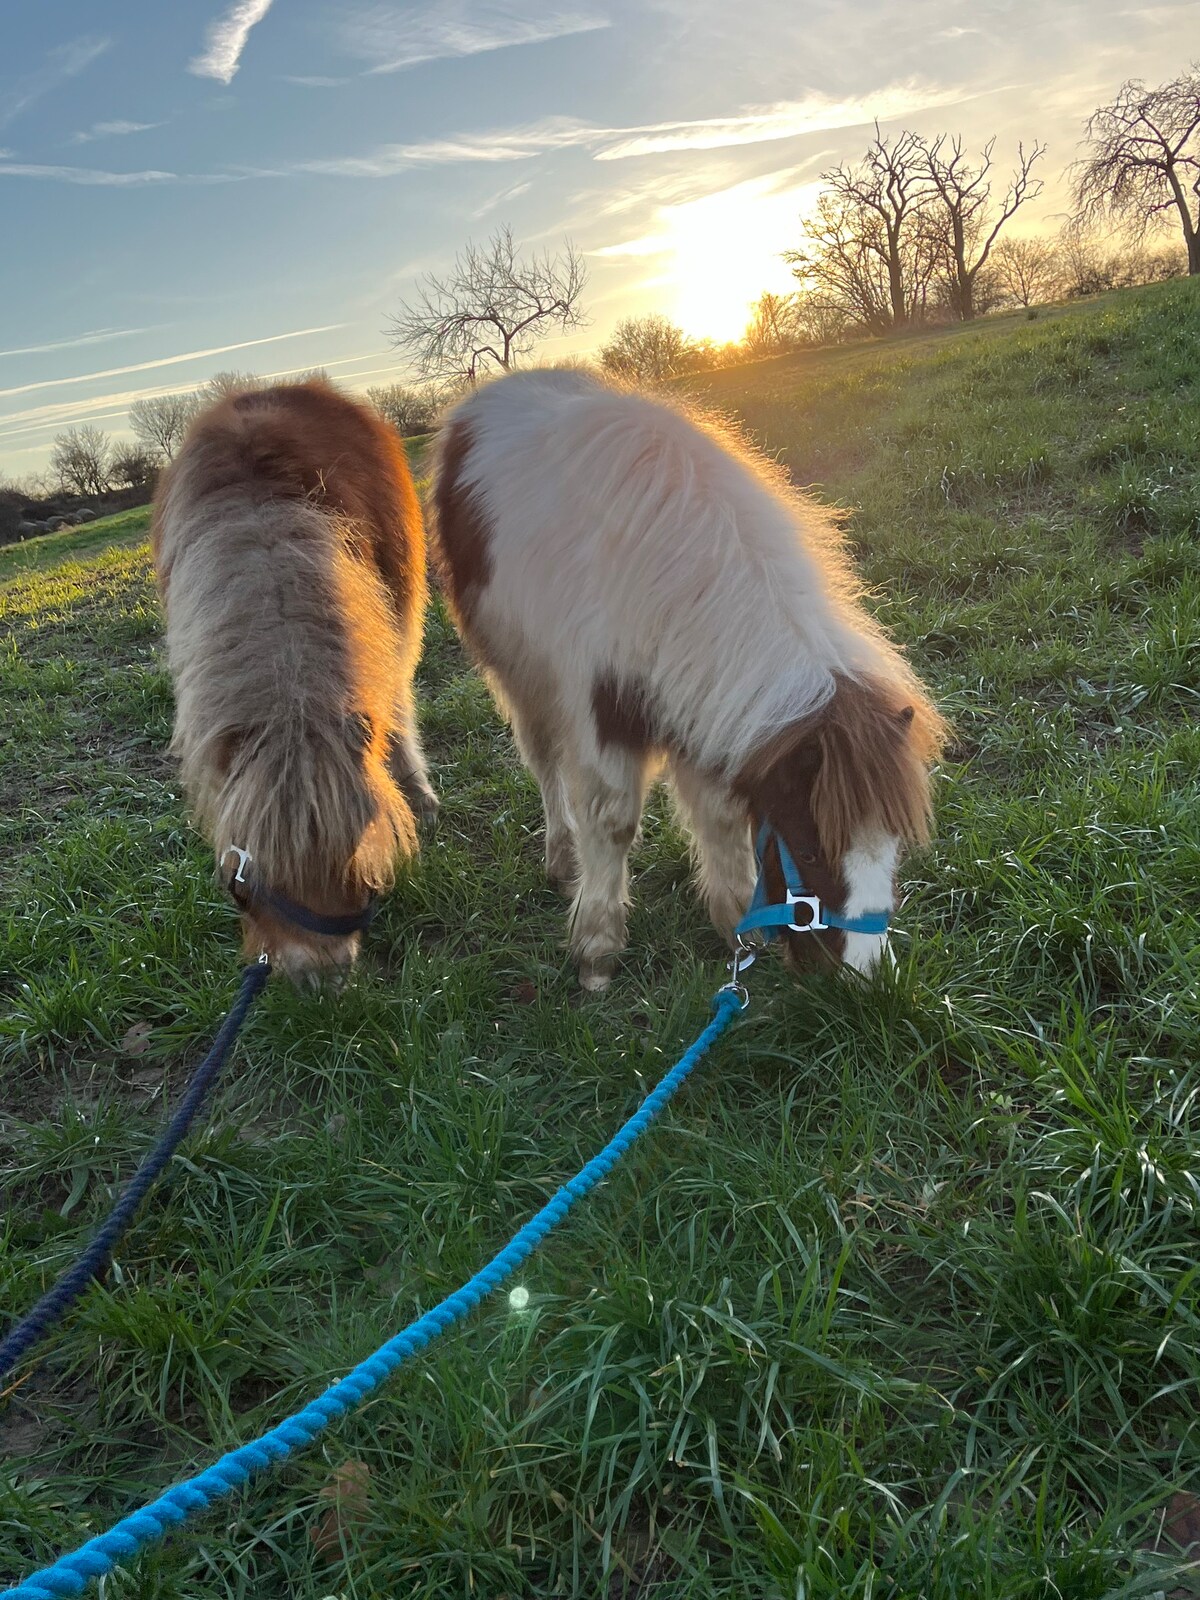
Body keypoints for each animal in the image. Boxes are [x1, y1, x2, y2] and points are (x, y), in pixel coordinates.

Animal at [432, 368, 947, 985]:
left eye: (894, 843)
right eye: (812, 849)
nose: (861, 975)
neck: (677, 573)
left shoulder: (706, 705)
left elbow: (721, 817)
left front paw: (737, 924)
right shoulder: (600, 712)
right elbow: (611, 821)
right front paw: (597, 949)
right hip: (521, 675)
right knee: (544, 761)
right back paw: (561, 856)